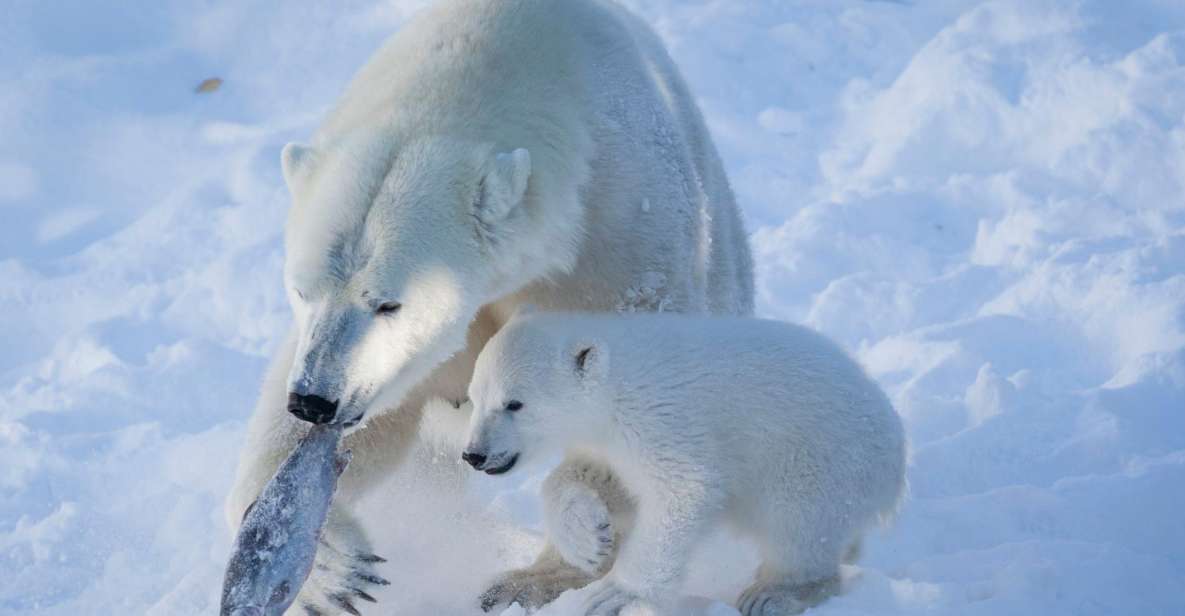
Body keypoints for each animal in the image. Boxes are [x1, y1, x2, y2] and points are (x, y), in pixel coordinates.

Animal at [226, 0, 753, 611]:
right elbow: (373, 418)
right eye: (300, 289)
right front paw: (329, 564)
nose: (314, 400)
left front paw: (581, 527)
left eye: (388, 304)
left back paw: (532, 578)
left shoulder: (618, 234)